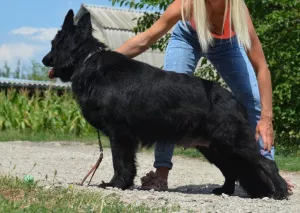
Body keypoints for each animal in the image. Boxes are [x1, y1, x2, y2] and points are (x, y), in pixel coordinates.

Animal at [41, 10, 288, 200]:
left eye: (54, 44)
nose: (44, 60)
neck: (88, 62)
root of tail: (234, 100)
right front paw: (123, 183)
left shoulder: (119, 134)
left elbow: (119, 162)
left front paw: (116, 184)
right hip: (217, 149)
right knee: (232, 171)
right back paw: (225, 191)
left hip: (234, 144)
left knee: (267, 164)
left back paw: (280, 192)